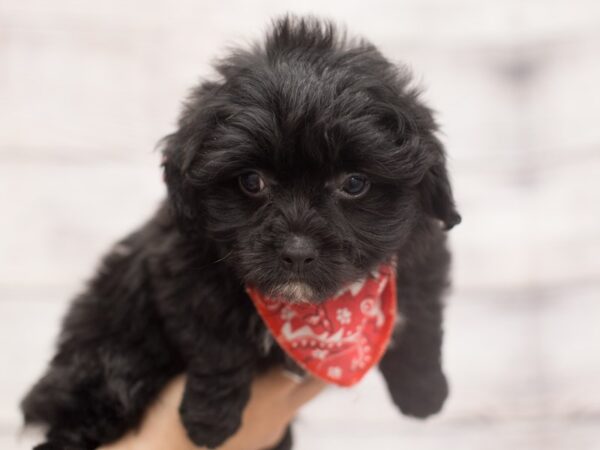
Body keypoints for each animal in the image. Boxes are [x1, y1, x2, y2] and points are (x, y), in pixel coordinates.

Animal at [19, 15, 460, 448]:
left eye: (354, 183)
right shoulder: (182, 272)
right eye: (251, 181)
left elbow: (421, 319)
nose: (297, 252)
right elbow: (217, 345)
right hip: (105, 360)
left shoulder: (423, 254)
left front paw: (424, 393)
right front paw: (210, 421)